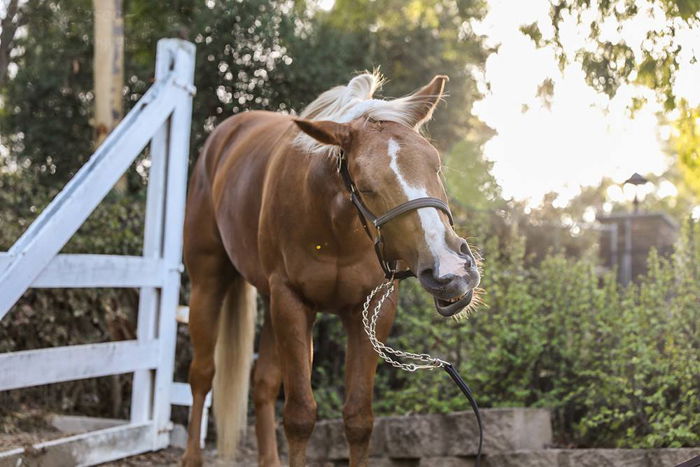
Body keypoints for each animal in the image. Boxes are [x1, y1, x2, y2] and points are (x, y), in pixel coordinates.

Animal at [180, 70, 482, 467]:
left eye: (436, 164)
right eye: (366, 186)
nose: (451, 268)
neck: (334, 226)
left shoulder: (370, 311)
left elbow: (358, 419)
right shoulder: (292, 302)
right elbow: (299, 416)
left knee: (263, 385)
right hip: (209, 283)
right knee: (202, 375)